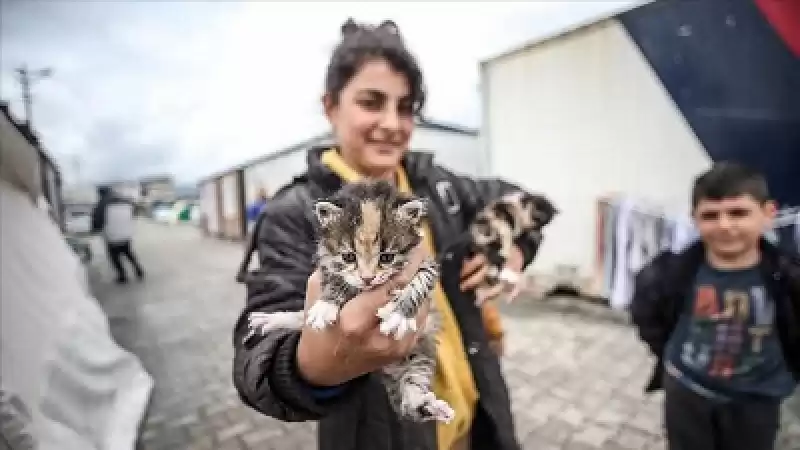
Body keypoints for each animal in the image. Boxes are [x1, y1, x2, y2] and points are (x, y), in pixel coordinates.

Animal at [245, 181, 456, 424]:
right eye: (349, 257)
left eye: (387, 257)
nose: (367, 278)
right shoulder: (327, 262)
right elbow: (338, 279)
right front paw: (327, 304)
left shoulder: (426, 262)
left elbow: (421, 281)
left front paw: (399, 315)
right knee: (301, 318)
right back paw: (270, 320)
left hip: (420, 350)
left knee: (410, 398)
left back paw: (429, 406)